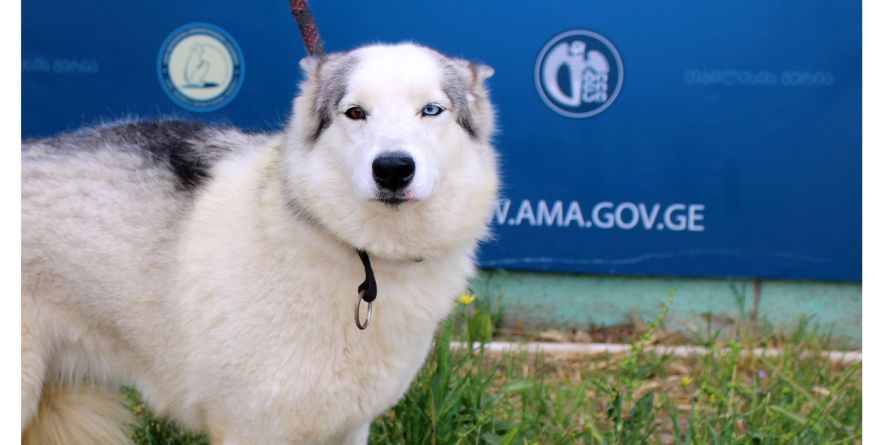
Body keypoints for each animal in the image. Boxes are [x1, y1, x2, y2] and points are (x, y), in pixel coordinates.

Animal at [20, 42, 500, 444]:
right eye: (355, 113)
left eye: (432, 110)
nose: (393, 168)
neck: (363, 257)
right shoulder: (250, 430)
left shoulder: (349, 427)